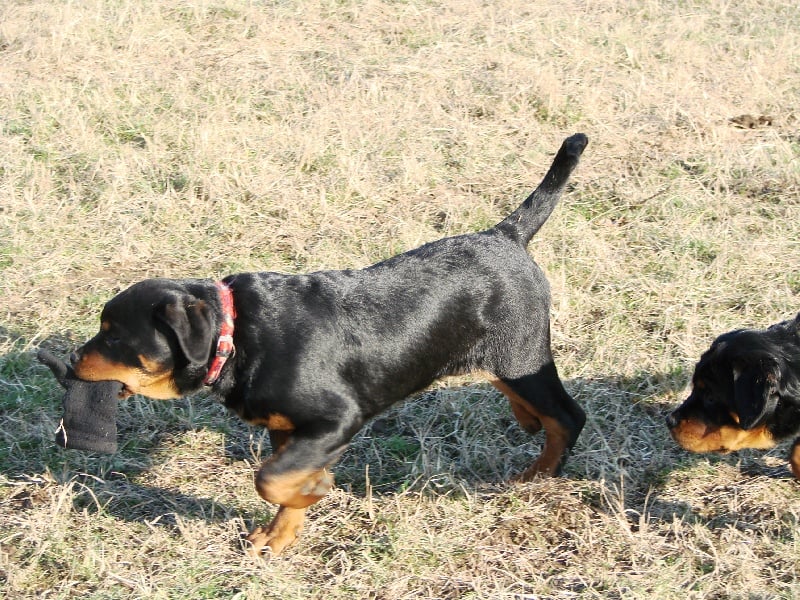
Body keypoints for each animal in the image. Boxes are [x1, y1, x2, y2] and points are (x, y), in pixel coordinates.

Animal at [70, 134, 588, 556]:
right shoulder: (288, 430)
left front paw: (316, 489)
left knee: (567, 416)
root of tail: (506, 234)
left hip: (520, 354)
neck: (236, 337)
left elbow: (270, 479)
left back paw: (538, 474)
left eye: (113, 334)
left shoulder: (335, 419)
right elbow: (282, 481)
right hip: (500, 357)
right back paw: (526, 423)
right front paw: (278, 536)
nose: (74, 357)